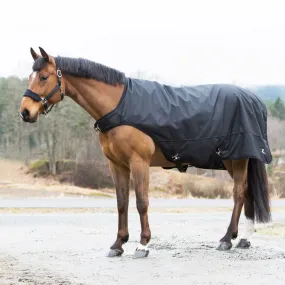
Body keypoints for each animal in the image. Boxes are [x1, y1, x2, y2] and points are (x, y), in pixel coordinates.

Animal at [18, 47, 270, 258]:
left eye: (43, 77)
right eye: (30, 76)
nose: (25, 112)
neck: (119, 106)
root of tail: (253, 99)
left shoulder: (139, 163)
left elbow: (141, 202)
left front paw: (142, 244)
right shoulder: (116, 165)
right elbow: (122, 203)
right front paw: (118, 244)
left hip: (237, 159)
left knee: (238, 193)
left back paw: (227, 239)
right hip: (234, 160)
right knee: (247, 193)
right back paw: (243, 239)